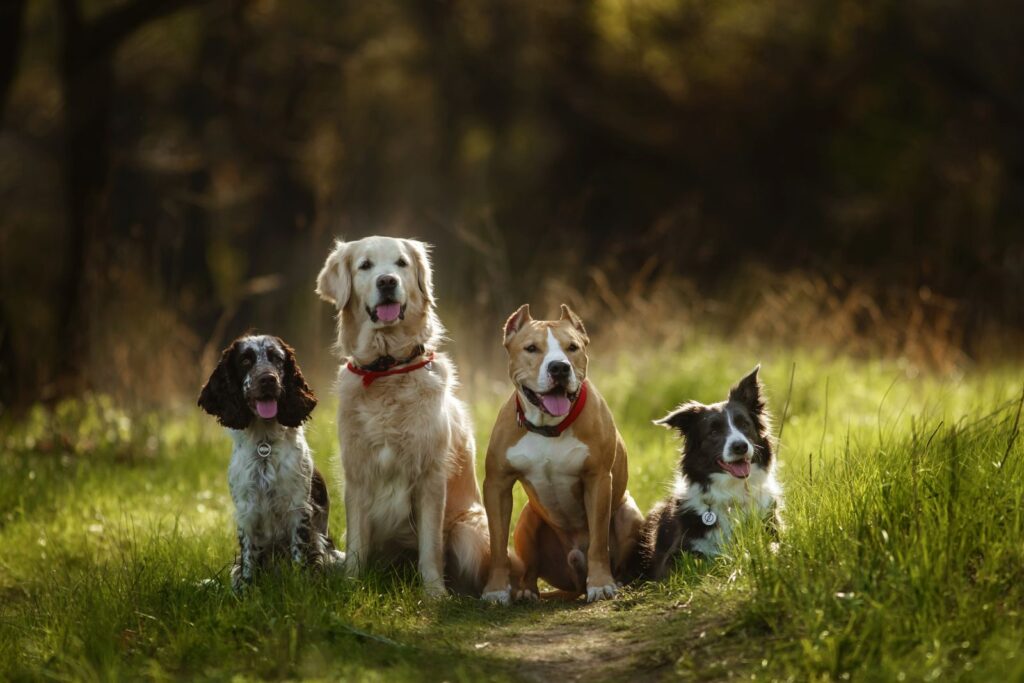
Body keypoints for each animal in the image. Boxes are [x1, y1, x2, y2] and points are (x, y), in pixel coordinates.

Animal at [197, 333, 342, 589]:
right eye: (245, 360)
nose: (267, 379)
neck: (264, 444)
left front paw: (300, 586)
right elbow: (248, 558)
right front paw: (246, 590)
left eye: (276, 359)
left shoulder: (298, 508)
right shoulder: (247, 510)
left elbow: (300, 554)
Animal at [313, 236, 489, 598]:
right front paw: (351, 585)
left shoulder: (430, 476)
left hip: (468, 531)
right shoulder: (358, 475)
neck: (387, 369)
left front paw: (435, 594)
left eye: (401, 263)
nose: (387, 282)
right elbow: (357, 543)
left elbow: (430, 546)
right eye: (365, 266)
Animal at [479, 305, 638, 602]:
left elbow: (598, 542)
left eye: (572, 347)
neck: (549, 428)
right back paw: (527, 591)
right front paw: (495, 589)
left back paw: (619, 581)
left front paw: (601, 584)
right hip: (527, 520)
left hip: (628, 513)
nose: (560, 367)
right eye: (531, 348)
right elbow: (497, 543)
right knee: (530, 567)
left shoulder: (598, 480)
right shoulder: (497, 485)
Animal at [630, 366, 782, 581]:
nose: (740, 446)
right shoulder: (673, 557)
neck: (731, 493)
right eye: (713, 432)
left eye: (744, 424)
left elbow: (771, 547)